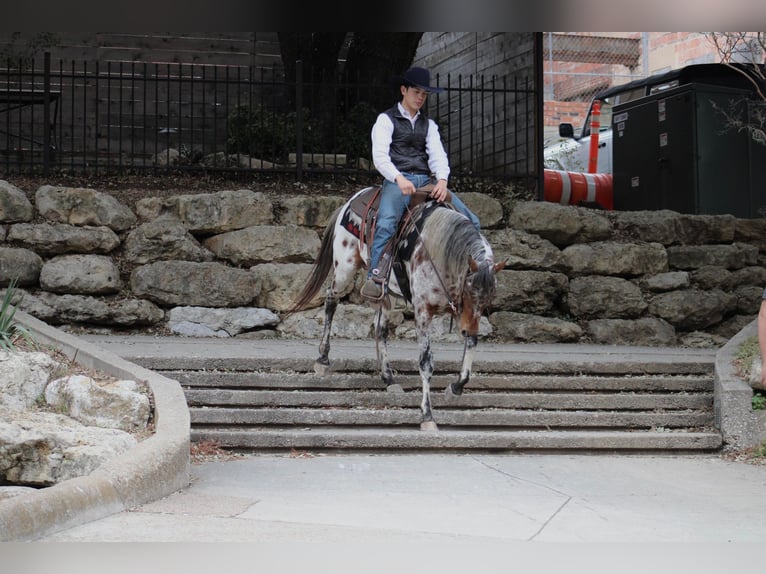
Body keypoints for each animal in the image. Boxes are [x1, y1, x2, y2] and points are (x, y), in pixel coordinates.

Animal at [288, 188, 504, 432]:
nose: (469, 329)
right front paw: (427, 415)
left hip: (385, 293)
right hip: (344, 269)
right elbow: (426, 362)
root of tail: (353, 199)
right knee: (331, 300)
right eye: (468, 290)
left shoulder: (466, 315)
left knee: (380, 329)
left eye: (489, 298)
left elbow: (471, 347)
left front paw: (456, 387)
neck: (438, 251)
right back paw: (323, 358)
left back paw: (388, 377)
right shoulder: (423, 311)